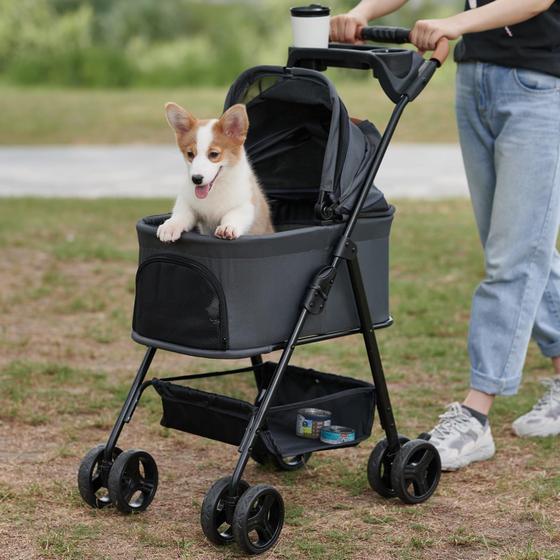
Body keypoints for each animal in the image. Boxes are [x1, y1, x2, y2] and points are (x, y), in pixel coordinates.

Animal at [156, 102, 274, 241]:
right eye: (190, 154)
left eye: (214, 154)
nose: (196, 179)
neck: (214, 191)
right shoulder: (187, 202)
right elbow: (181, 214)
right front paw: (170, 226)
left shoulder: (246, 205)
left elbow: (233, 215)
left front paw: (227, 227)